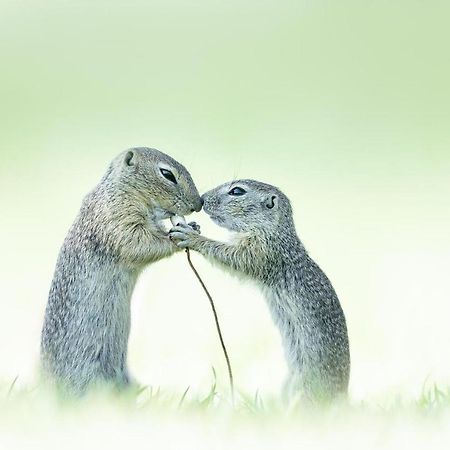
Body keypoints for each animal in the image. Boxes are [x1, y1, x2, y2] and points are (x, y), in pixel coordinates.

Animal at [40, 148, 202, 394]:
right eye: (167, 174)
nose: (199, 203)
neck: (122, 188)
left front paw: (193, 227)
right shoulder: (118, 217)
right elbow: (138, 242)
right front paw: (179, 235)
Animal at [171, 180, 350, 404]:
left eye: (237, 191)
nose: (202, 199)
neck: (275, 231)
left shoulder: (261, 251)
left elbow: (232, 256)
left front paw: (192, 236)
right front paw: (194, 226)